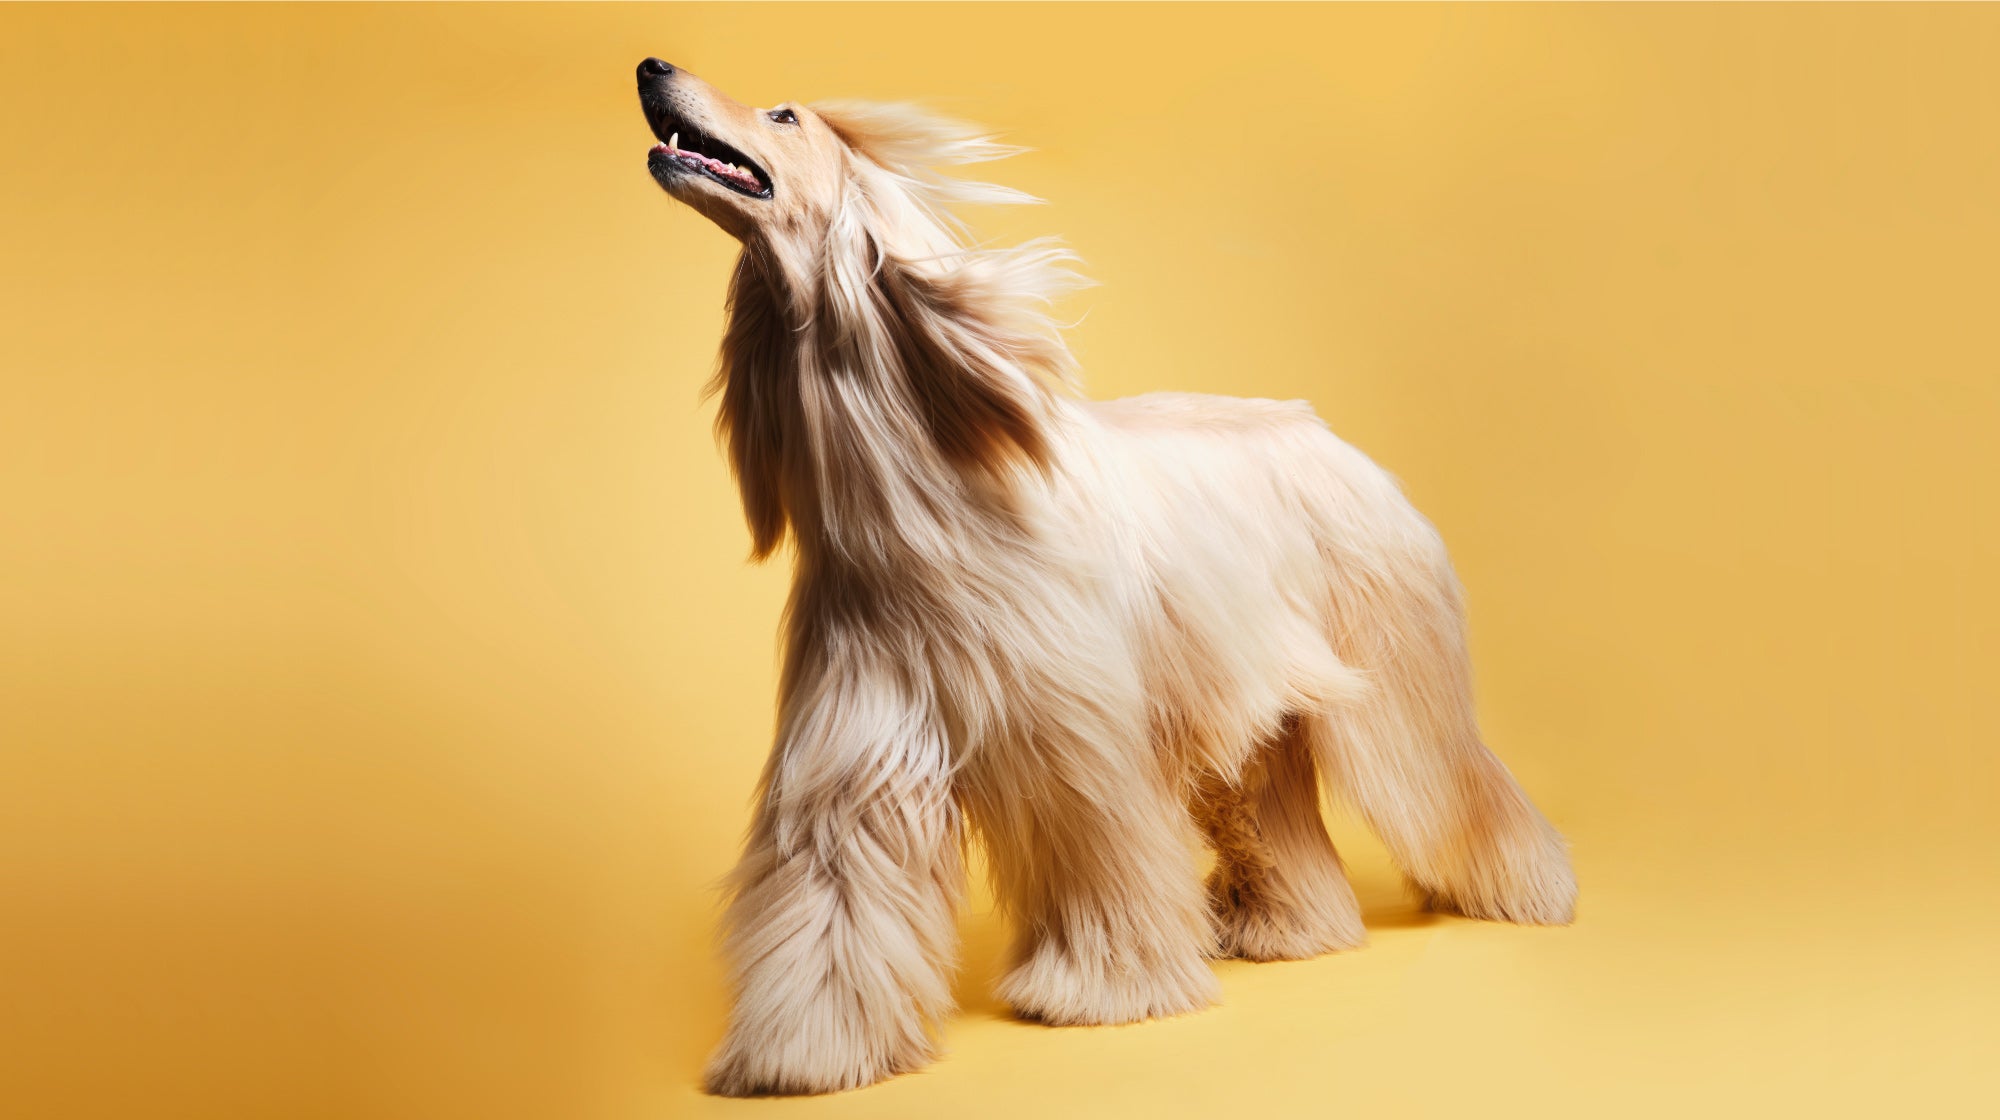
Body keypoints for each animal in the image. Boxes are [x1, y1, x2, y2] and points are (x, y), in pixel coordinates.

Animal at [636, 59, 1576, 1096]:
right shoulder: (860, 743)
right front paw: (805, 1050)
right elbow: (830, 894)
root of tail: (1326, 432)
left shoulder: (1072, 742)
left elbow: (1100, 858)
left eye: (784, 115)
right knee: (1274, 814)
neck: (914, 503)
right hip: (1252, 713)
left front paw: (1104, 990)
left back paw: (1530, 888)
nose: (651, 68)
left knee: (1456, 784)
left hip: (1394, 676)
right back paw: (1291, 929)